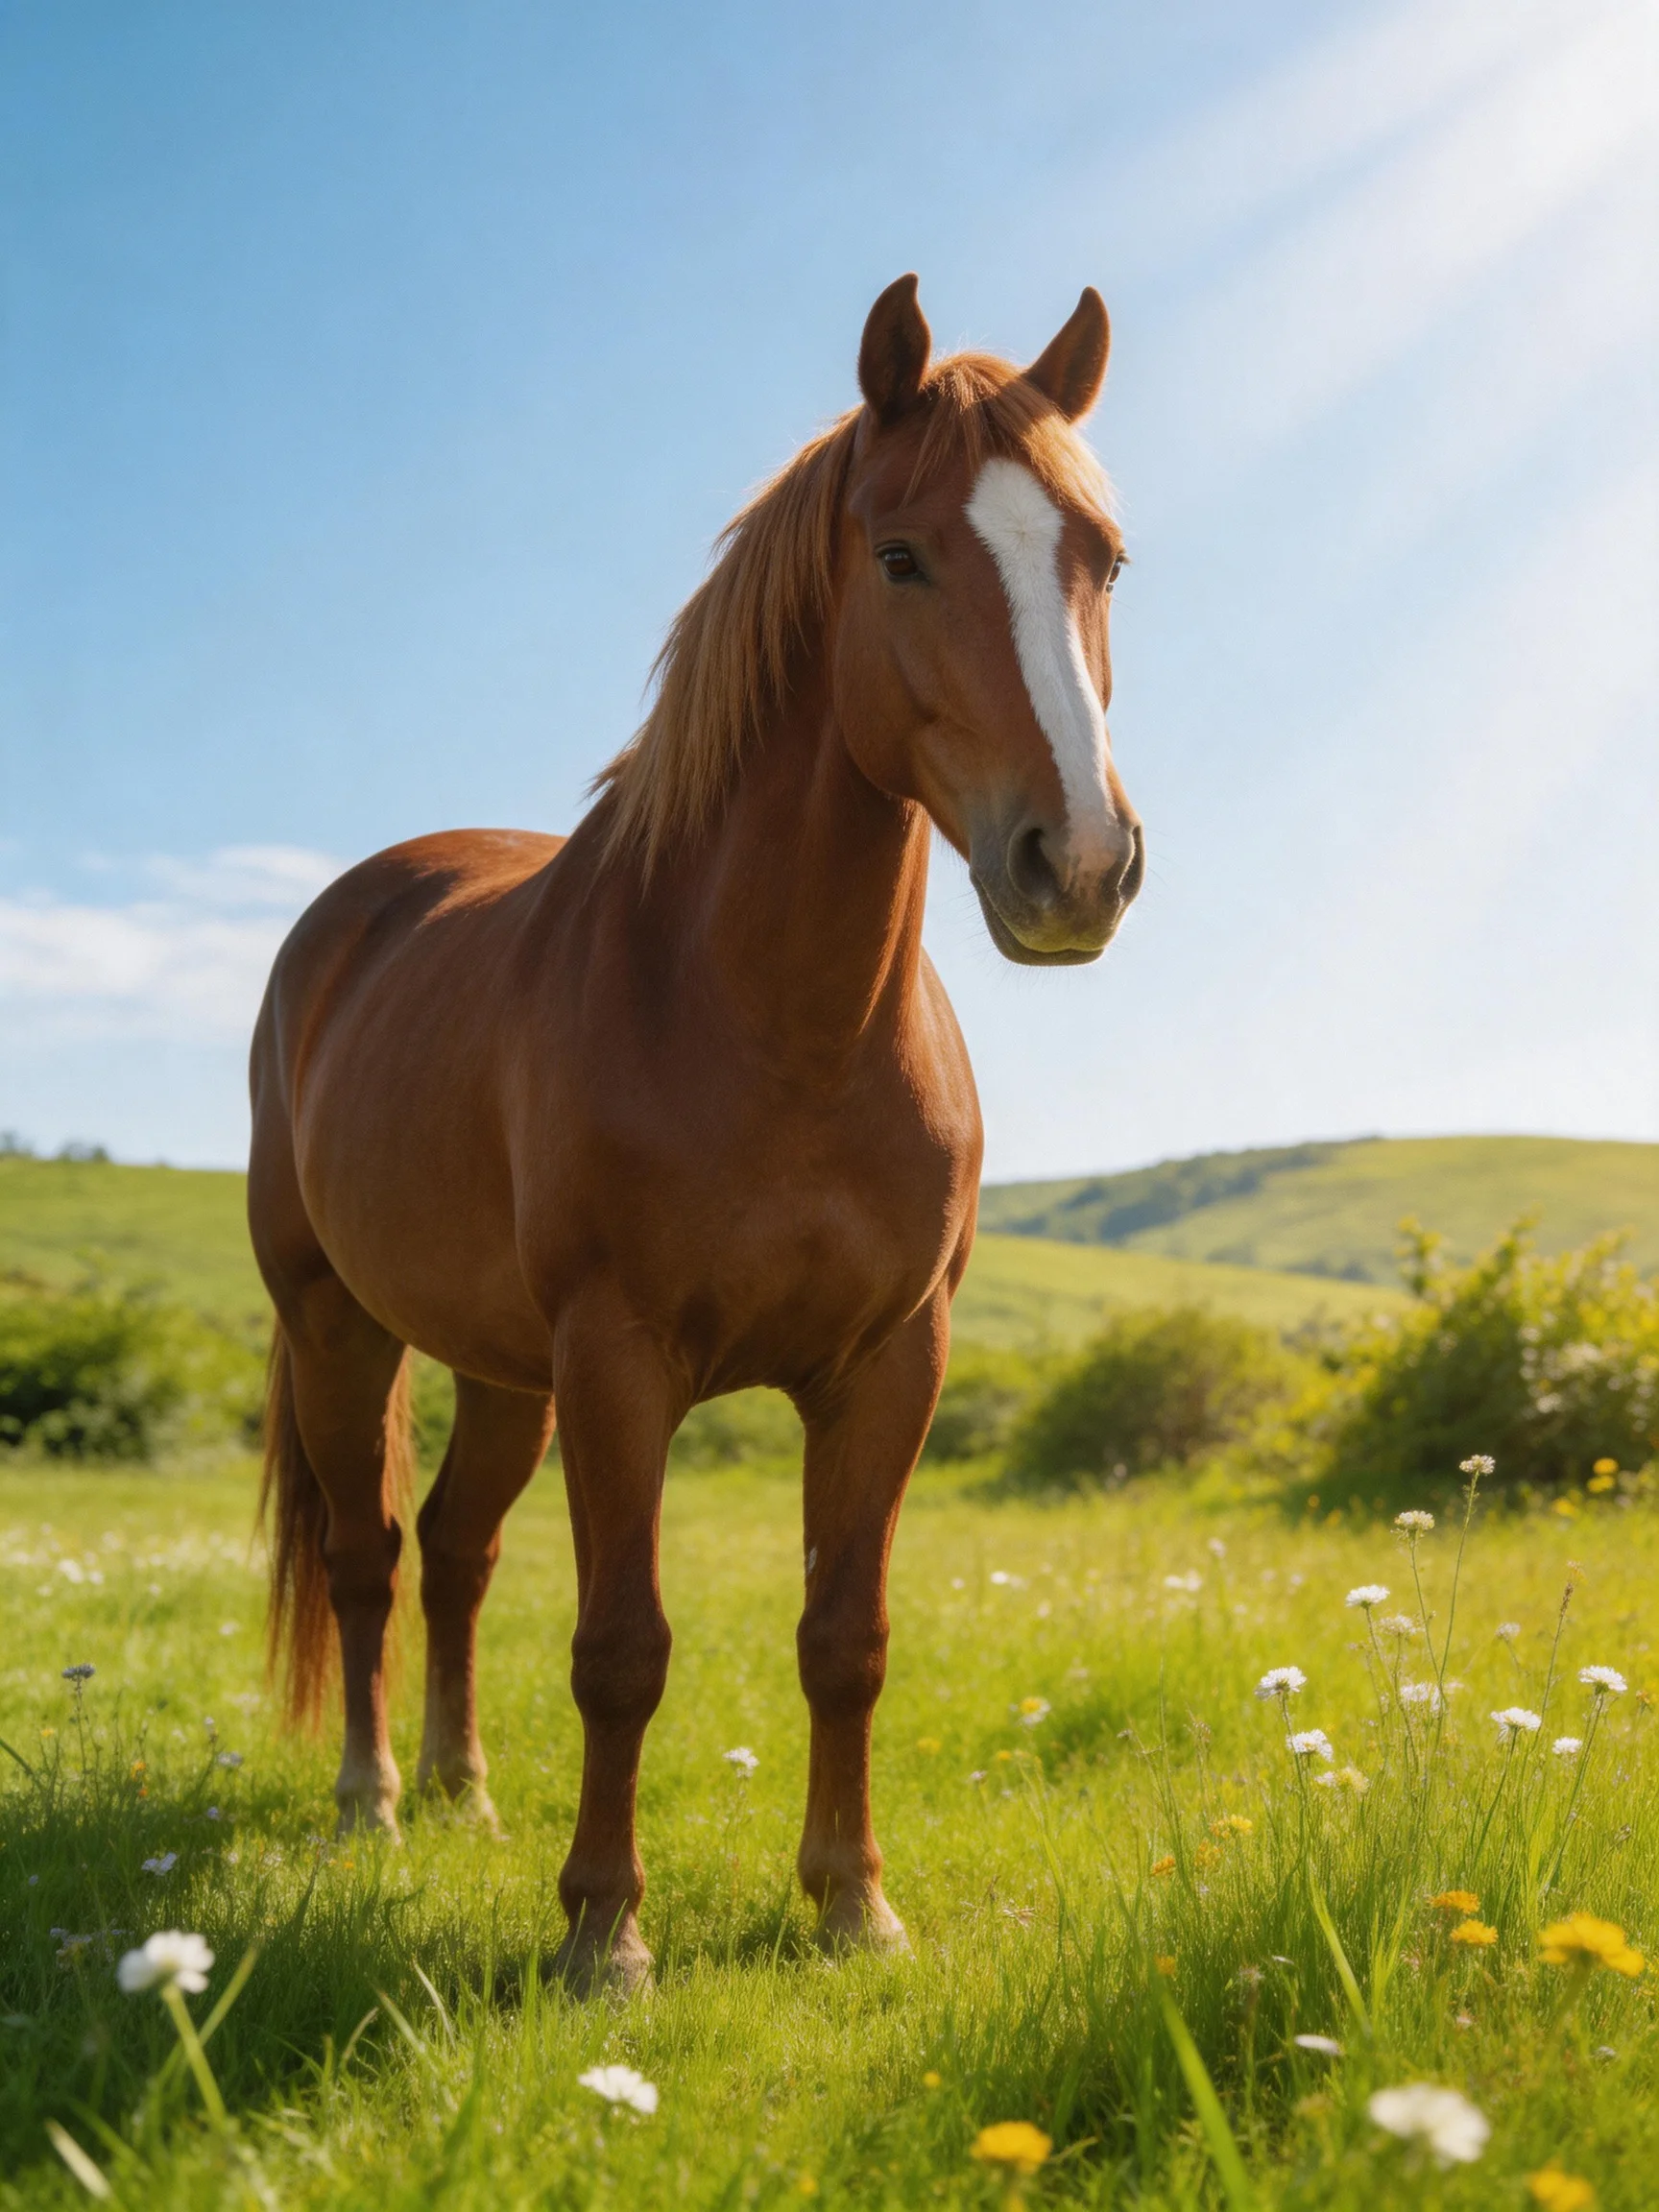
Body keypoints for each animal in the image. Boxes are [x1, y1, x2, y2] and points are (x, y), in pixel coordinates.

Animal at [250, 273, 1143, 1991]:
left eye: (1105, 556)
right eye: (900, 555)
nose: (1077, 864)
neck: (773, 1026)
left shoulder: (889, 1366)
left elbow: (845, 1640)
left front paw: (854, 1905)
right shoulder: (620, 1359)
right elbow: (622, 1648)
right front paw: (605, 1933)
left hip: (498, 1368)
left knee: (455, 1551)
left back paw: (464, 1794)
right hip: (343, 1329)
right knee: (368, 1557)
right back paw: (373, 1804)